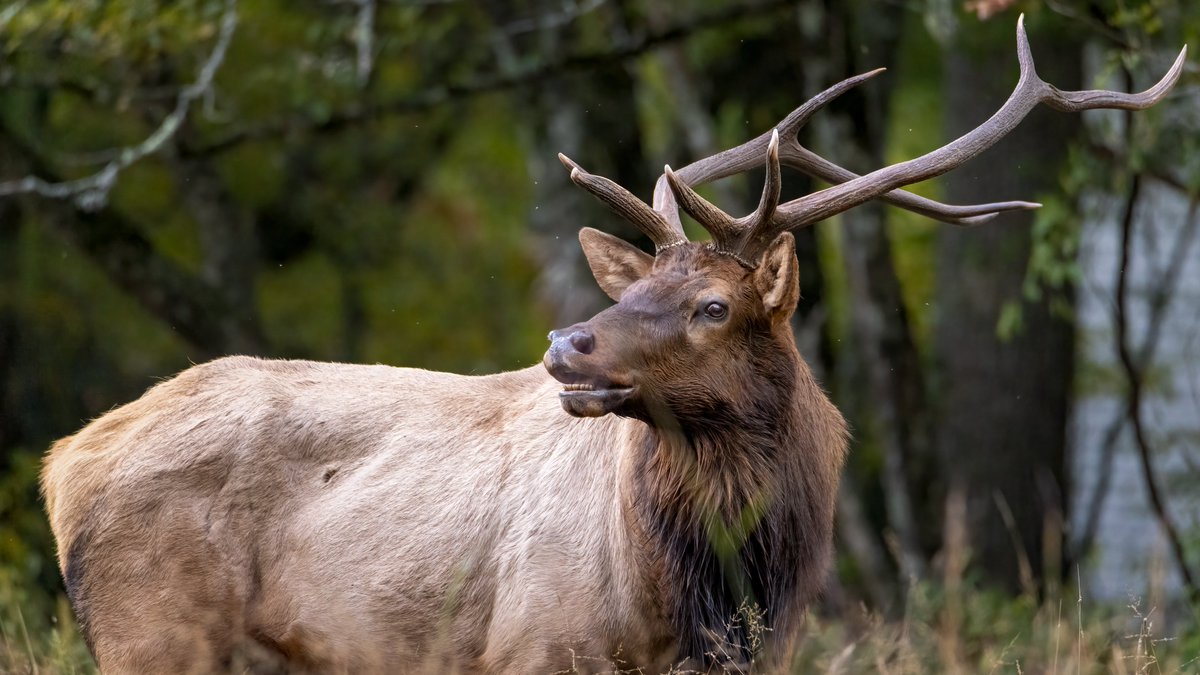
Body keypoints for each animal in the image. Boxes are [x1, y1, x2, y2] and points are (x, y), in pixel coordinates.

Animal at [41, 18, 1183, 674]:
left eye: (714, 305)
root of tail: (65, 461)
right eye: (637, 285)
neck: (708, 593)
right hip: (155, 628)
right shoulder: (533, 645)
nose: (566, 343)